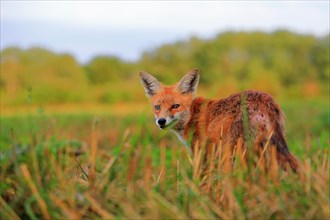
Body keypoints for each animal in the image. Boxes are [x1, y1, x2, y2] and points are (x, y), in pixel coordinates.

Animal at [139, 68, 300, 171]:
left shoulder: (202, 154)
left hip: (237, 152)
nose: (161, 121)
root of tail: (265, 100)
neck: (192, 114)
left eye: (175, 106)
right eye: (157, 107)